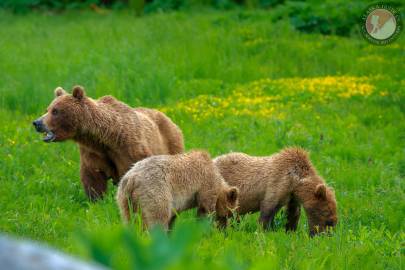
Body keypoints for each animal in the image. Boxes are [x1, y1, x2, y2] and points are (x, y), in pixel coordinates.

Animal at [33, 86, 185, 200]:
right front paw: (96, 200)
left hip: (171, 143)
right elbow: (93, 178)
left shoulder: (129, 148)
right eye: (47, 109)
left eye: (55, 111)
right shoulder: (93, 152)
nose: (37, 123)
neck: (105, 138)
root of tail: (165, 115)